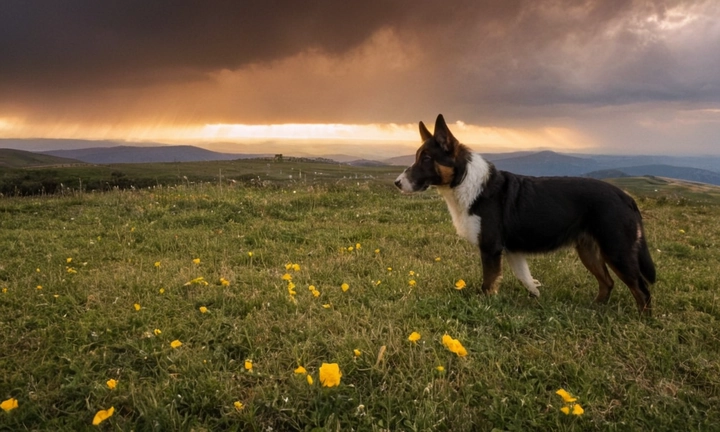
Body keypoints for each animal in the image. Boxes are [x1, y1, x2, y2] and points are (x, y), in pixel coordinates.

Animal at [396, 115, 656, 314]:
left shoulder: (491, 248)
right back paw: (595, 308)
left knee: (642, 290)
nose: (397, 183)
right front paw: (534, 291)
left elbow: (488, 283)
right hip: (589, 251)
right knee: (608, 282)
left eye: (426, 159)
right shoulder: (512, 251)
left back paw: (642, 321)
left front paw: (485, 307)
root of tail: (625, 197)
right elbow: (524, 276)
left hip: (617, 251)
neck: (464, 180)